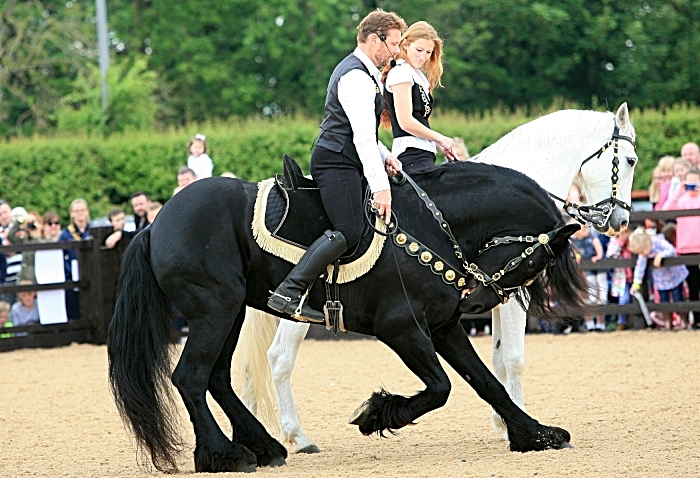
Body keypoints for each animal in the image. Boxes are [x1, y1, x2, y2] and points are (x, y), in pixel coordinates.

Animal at [109, 160, 588, 470]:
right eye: (534, 262)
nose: (476, 303)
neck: (431, 225)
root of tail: (155, 222)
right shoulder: (402, 329)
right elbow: (441, 388)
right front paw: (379, 414)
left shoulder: (444, 328)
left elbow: (487, 383)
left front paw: (535, 434)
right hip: (215, 311)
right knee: (190, 377)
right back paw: (224, 455)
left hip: (229, 313)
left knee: (216, 378)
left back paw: (264, 447)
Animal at [234, 104, 636, 452]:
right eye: (631, 160)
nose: (620, 220)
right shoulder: (497, 302)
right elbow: (512, 359)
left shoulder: (480, 304)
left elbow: (493, 364)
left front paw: (511, 422)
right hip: (302, 311)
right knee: (280, 358)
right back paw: (297, 436)